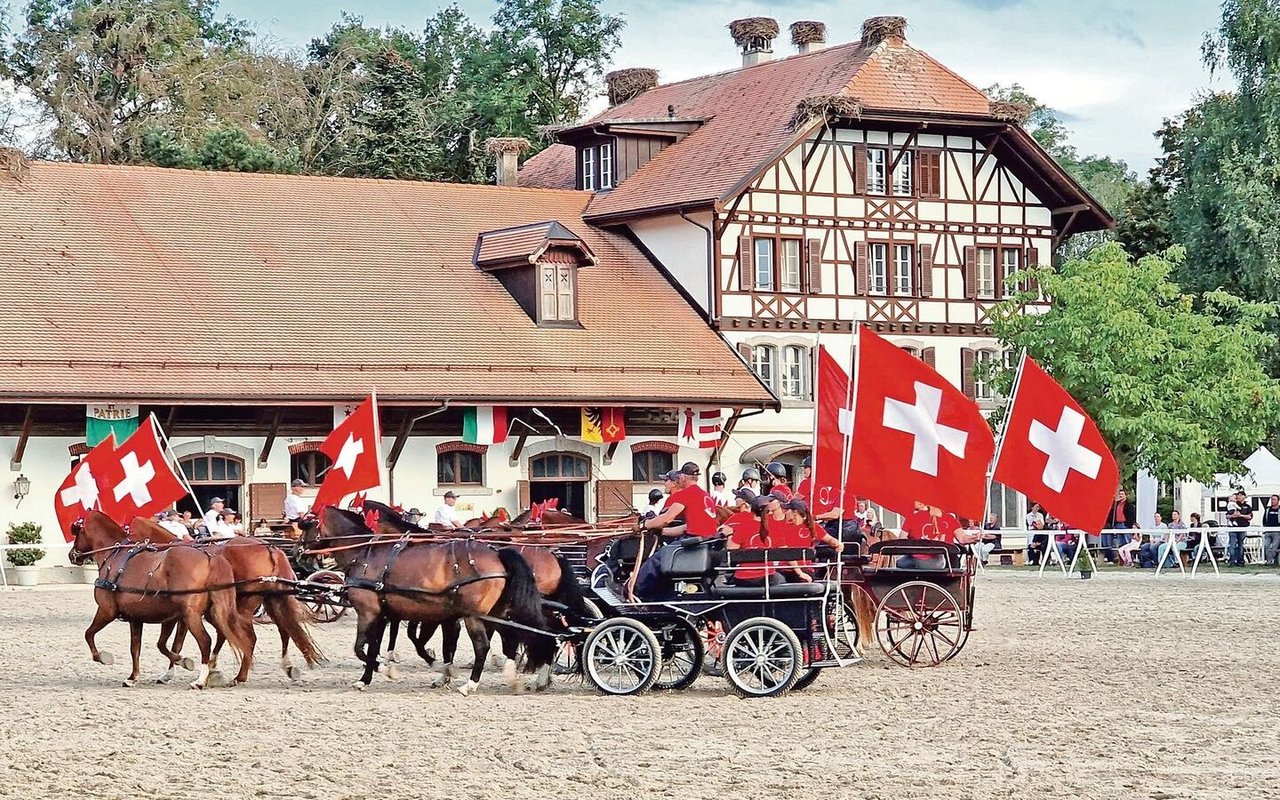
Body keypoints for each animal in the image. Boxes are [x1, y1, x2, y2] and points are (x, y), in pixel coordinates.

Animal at [68, 512, 254, 686]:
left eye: (77, 532)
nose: (72, 555)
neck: (114, 555)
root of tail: (210, 558)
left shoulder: (107, 610)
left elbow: (89, 633)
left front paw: (102, 657)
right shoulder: (140, 618)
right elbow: (139, 648)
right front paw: (133, 677)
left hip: (192, 615)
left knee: (206, 641)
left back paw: (201, 680)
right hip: (214, 613)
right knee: (236, 636)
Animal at [129, 517, 325, 680]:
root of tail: (269, 548)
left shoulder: (184, 613)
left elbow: (176, 643)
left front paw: (172, 671)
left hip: (247, 604)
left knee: (252, 635)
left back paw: (239, 674)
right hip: (271, 599)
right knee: (285, 629)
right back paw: (286, 666)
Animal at [307, 504, 558, 691]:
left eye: (307, 523)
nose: (300, 550)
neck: (365, 554)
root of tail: (498, 554)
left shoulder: (369, 612)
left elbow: (362, 648)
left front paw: (387, 669)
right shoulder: (386, 613)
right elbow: (375, 646)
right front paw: (366, 678)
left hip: (473, 615)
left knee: (483, 646)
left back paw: (471, 684)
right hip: (496, 612)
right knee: (512, 639)